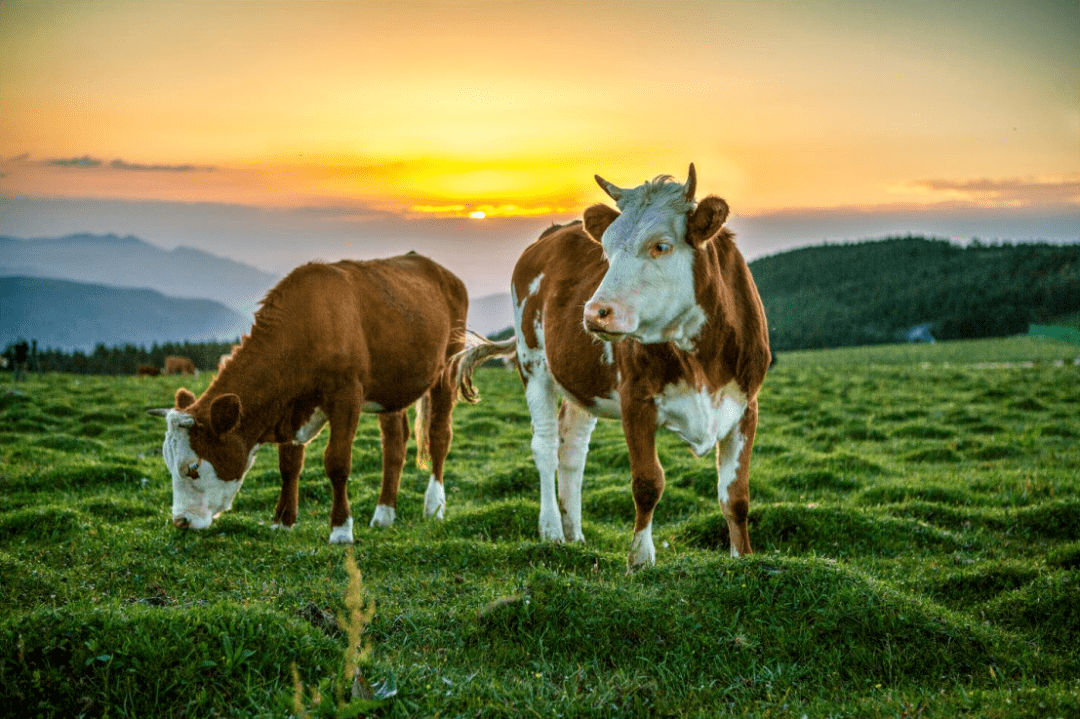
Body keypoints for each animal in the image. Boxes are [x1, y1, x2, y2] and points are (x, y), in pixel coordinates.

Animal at [146, 254, 481, 539]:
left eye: (193, 468)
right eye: (167, 462)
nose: (181, 521)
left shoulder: (346, 395)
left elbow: (337, 462)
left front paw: (341, 530)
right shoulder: (290, 406)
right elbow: (289, 465)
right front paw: (283, 521)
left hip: (448, 368)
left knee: (439, 436)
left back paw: (434, 506)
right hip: (391, 388)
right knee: (394, 446)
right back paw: (384, 514)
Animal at [460, 164, 773, 565]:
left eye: (661, 245)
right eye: (605, 250)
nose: (594, 312)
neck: (701, 356)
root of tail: (550, 235)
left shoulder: (747, 405)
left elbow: (736, 496)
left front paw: (744, 559)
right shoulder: (635, 401)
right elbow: (647, 483)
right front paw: (639, 559)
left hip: (581, 384)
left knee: (572, 451)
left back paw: (574, 533)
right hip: (534, 366)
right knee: (545, 447)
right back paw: (551, 531)